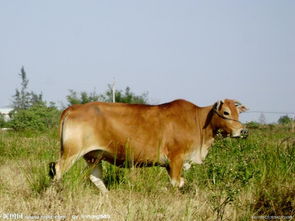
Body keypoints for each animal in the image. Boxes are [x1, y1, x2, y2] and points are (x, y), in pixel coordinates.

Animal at [49, 99, 249, 193]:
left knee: (95, 178)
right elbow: (177, 182)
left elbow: (177, 183)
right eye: (226, 112)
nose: (243, 131)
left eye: (238, 112)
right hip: (71, 152)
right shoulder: (176, 158)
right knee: (57, 169)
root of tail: (72, 108)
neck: (198, 121)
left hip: (94, 155)